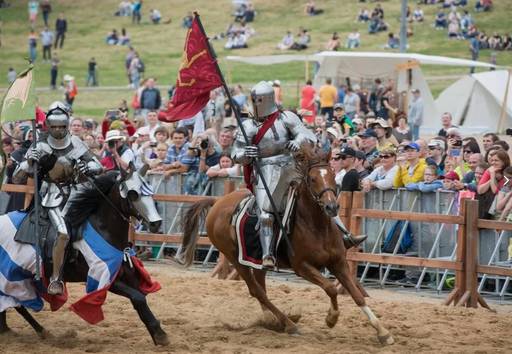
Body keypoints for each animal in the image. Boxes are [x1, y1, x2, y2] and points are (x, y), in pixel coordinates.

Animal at [0, 165, 169, 346]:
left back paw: (8, 329)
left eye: (150, 191)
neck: (103, 230)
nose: (156, 223)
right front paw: (160, 335)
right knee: (16, 304)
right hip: (12, 276)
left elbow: (141, 299)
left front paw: (157, 332)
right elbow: (138, 298)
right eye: (133, 194)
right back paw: (40, 331)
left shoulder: (129, 277)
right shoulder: (105, 279)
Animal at [181, 145, 396, 346]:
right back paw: (288, 324)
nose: (332, 207)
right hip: (236, 259)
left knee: (261, 289)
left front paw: (383, 332)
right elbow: (331, 288)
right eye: (312, 179)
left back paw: (272, 321)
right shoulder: (302, 267)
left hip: (258, 262)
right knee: (257, 291)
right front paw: (331, 318)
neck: (317, 227)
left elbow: (357, 295)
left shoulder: (339, 263)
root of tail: (217, 203)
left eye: (333, 176)